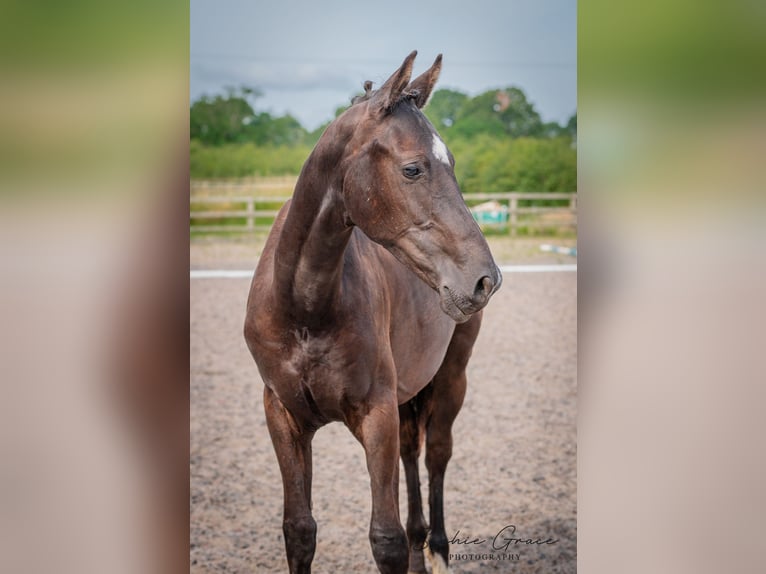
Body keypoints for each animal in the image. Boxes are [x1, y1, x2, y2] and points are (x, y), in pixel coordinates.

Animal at [243, 51, 500, 572]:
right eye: (413, 169)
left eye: (453, 163)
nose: (485, 280)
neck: (305, 308)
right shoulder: (282, 415)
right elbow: (299, 530)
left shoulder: (375, 416)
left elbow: (386, 537)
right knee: (412, 459)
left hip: (451, 378)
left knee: (435, 455)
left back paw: (438, 549)